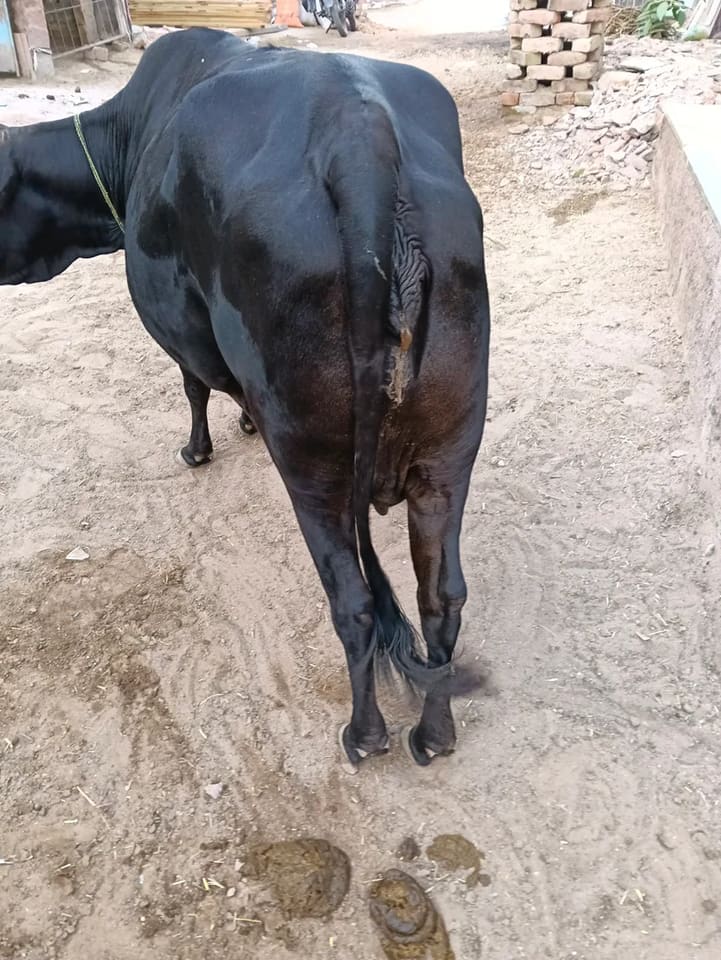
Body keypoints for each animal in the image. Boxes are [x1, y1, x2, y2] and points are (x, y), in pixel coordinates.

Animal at [0, 28, 490, 769]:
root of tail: (359, 134)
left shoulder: (180, 321)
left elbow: (194, 384)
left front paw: (200, 446)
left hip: (316, 468)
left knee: (352, 602)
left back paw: (364, 734)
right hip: (449, 450)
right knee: (441, 598)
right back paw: (434, 735)